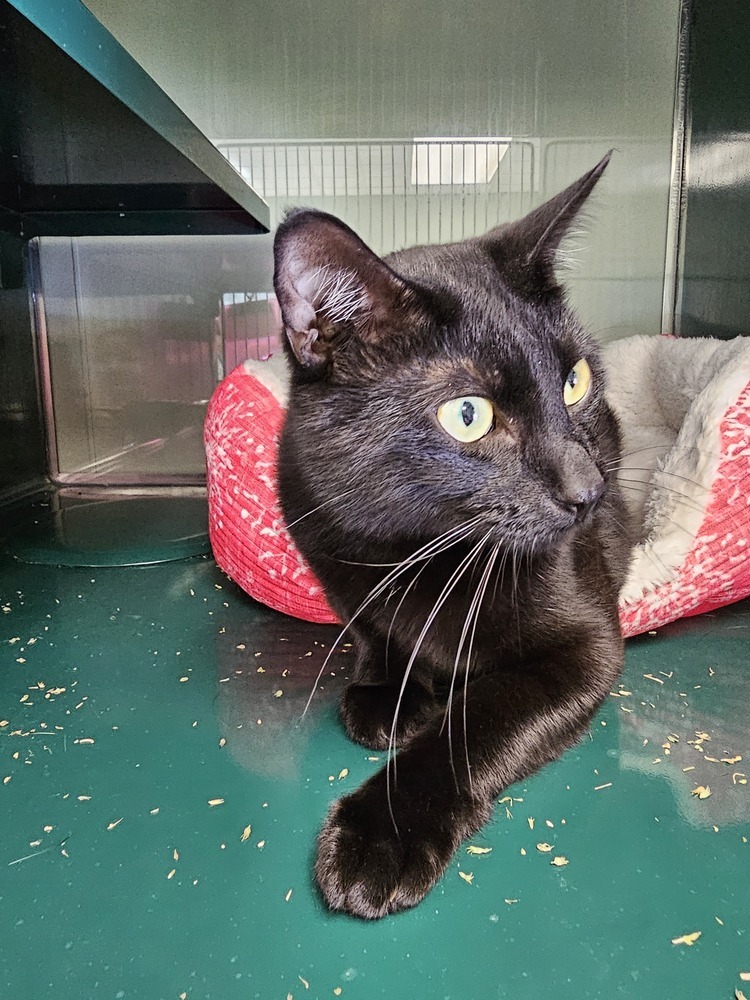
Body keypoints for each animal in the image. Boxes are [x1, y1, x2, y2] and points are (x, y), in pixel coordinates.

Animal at [272, 154, 636, 920]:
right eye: (469, 414)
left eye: (575, 380)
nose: (588, 491)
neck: (416, 547)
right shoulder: (329, 548)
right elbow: (372, 629)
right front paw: (387, 692)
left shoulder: (587, 646)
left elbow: (475, 722)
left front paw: (382, 832)